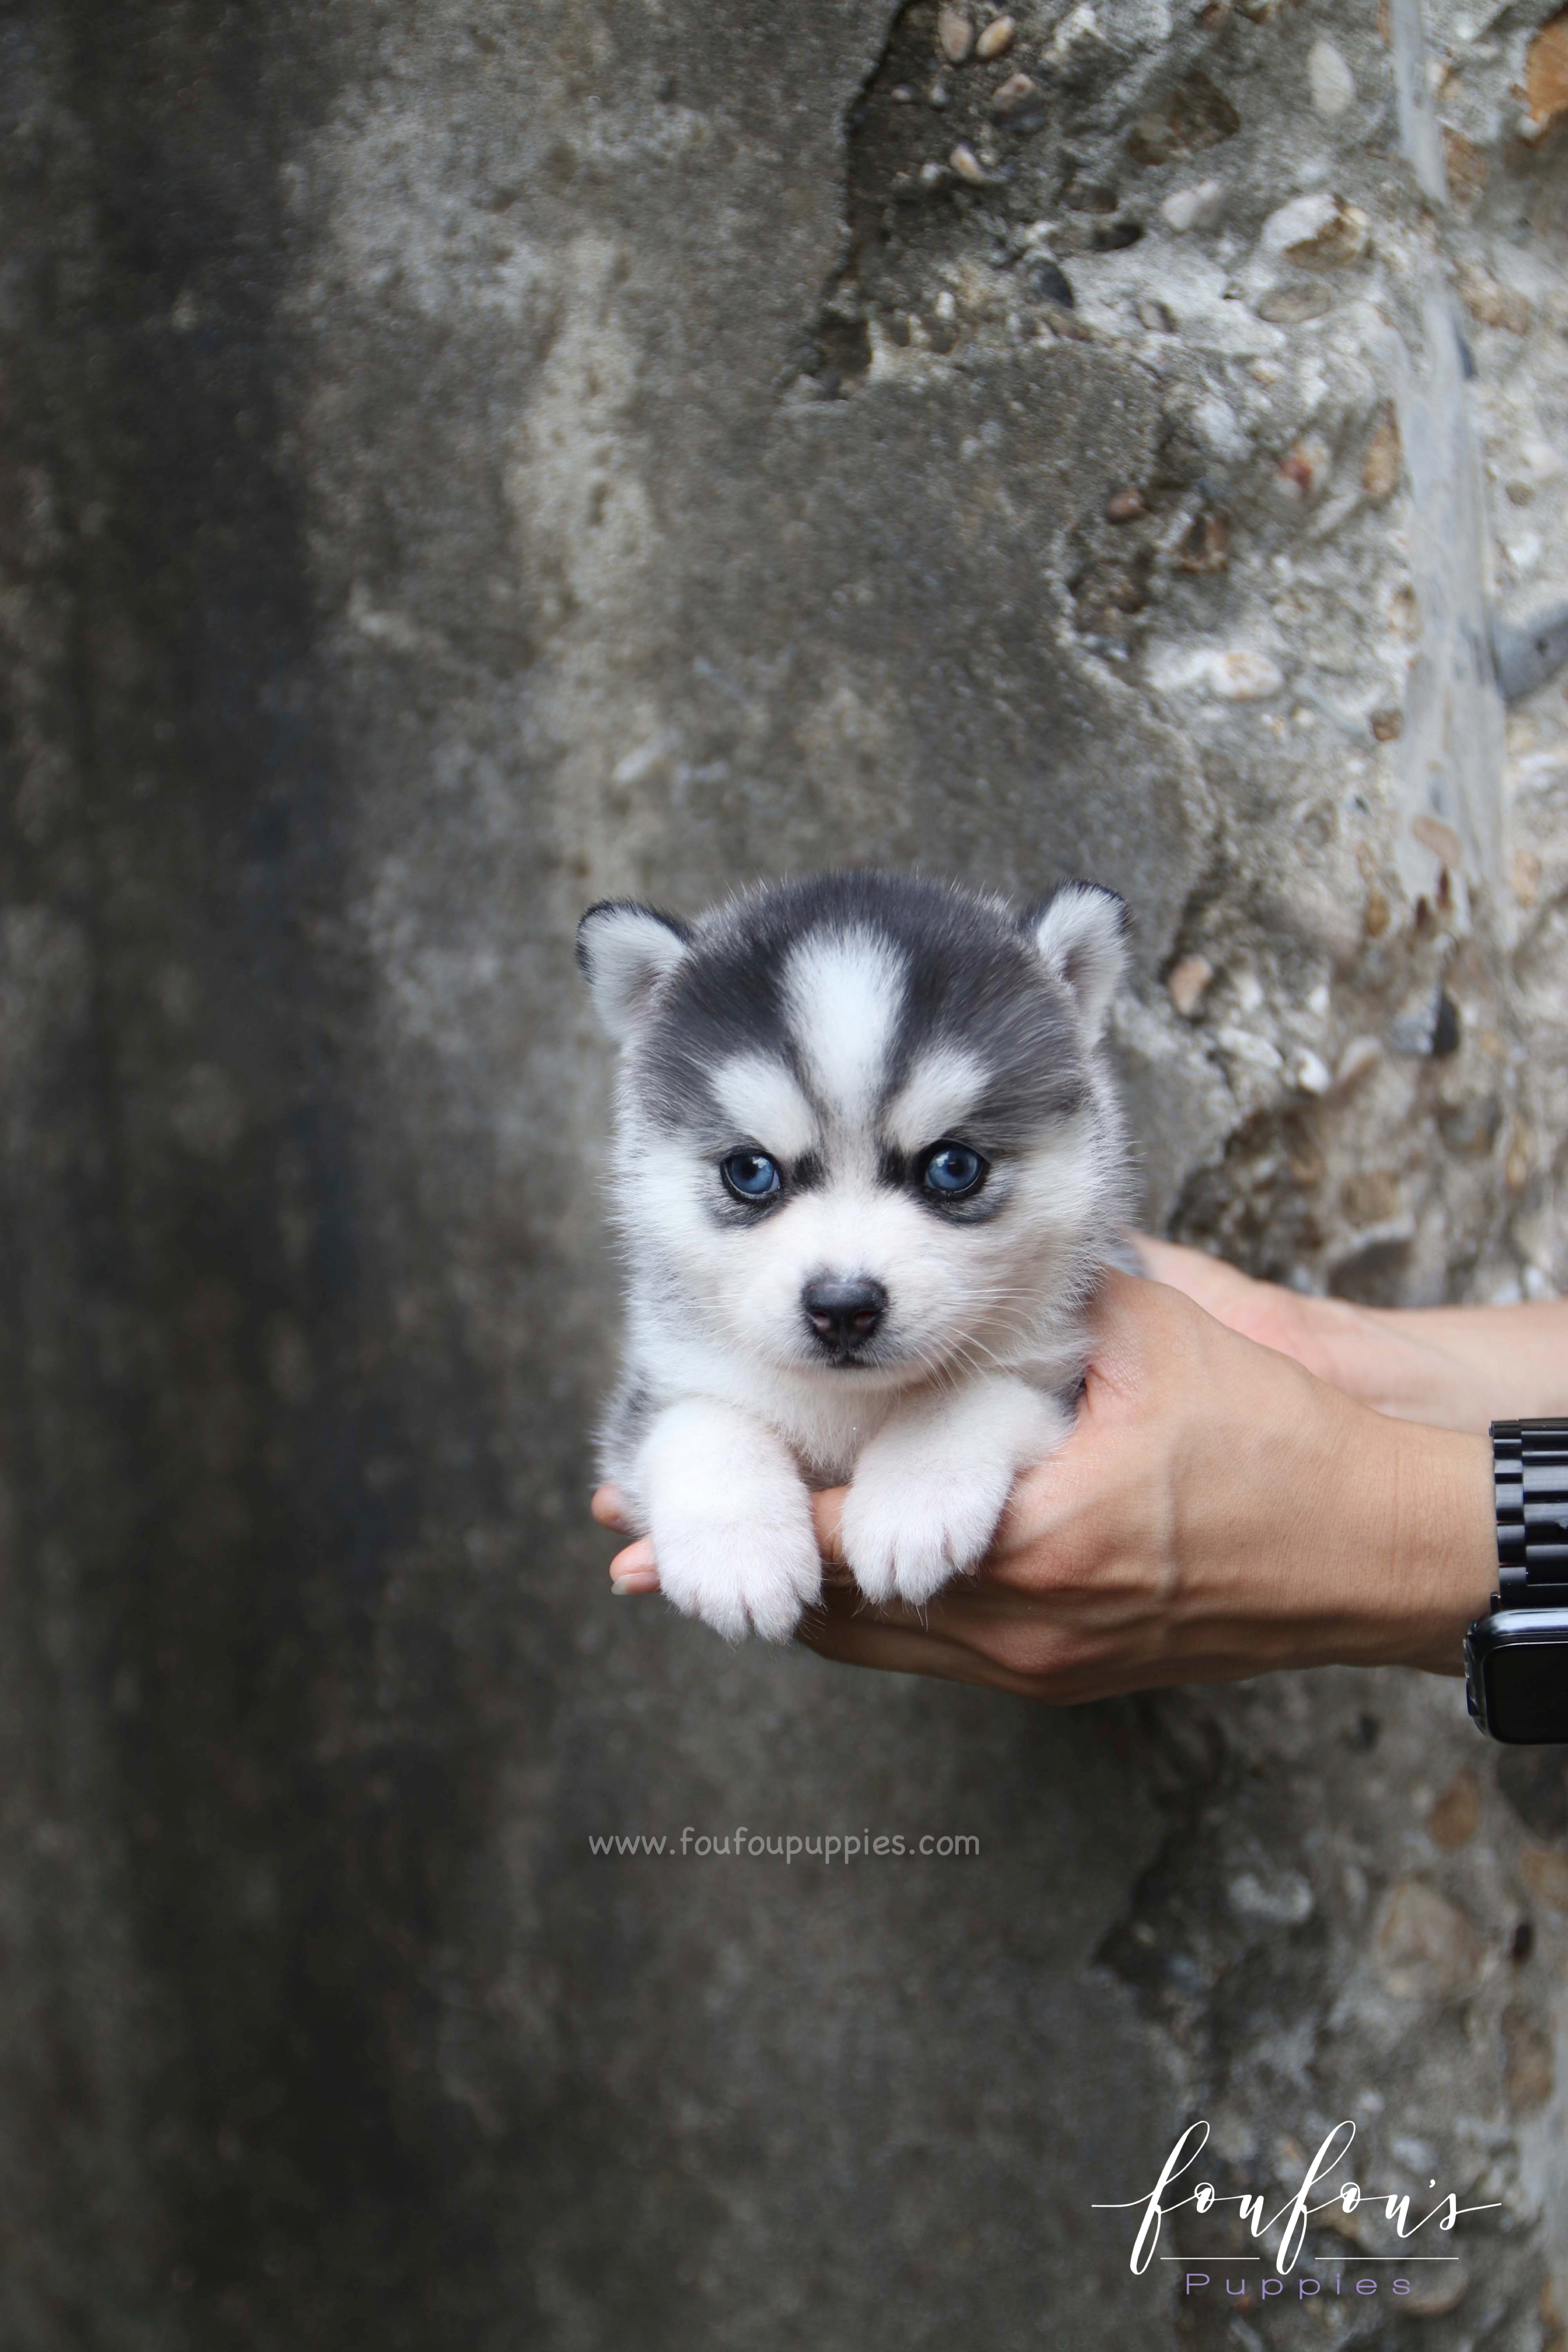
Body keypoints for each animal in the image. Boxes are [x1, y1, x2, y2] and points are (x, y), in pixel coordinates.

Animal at [576, 875, 1128, 1646]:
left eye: (953, 1167)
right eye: (750, 1172)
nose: (843, 1308)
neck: (849, 1406)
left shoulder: (1059, 1369)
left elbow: (973, 1393)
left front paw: (915, 1496)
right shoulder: (659, 1387)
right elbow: (700, 1421)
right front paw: (737, 1549)